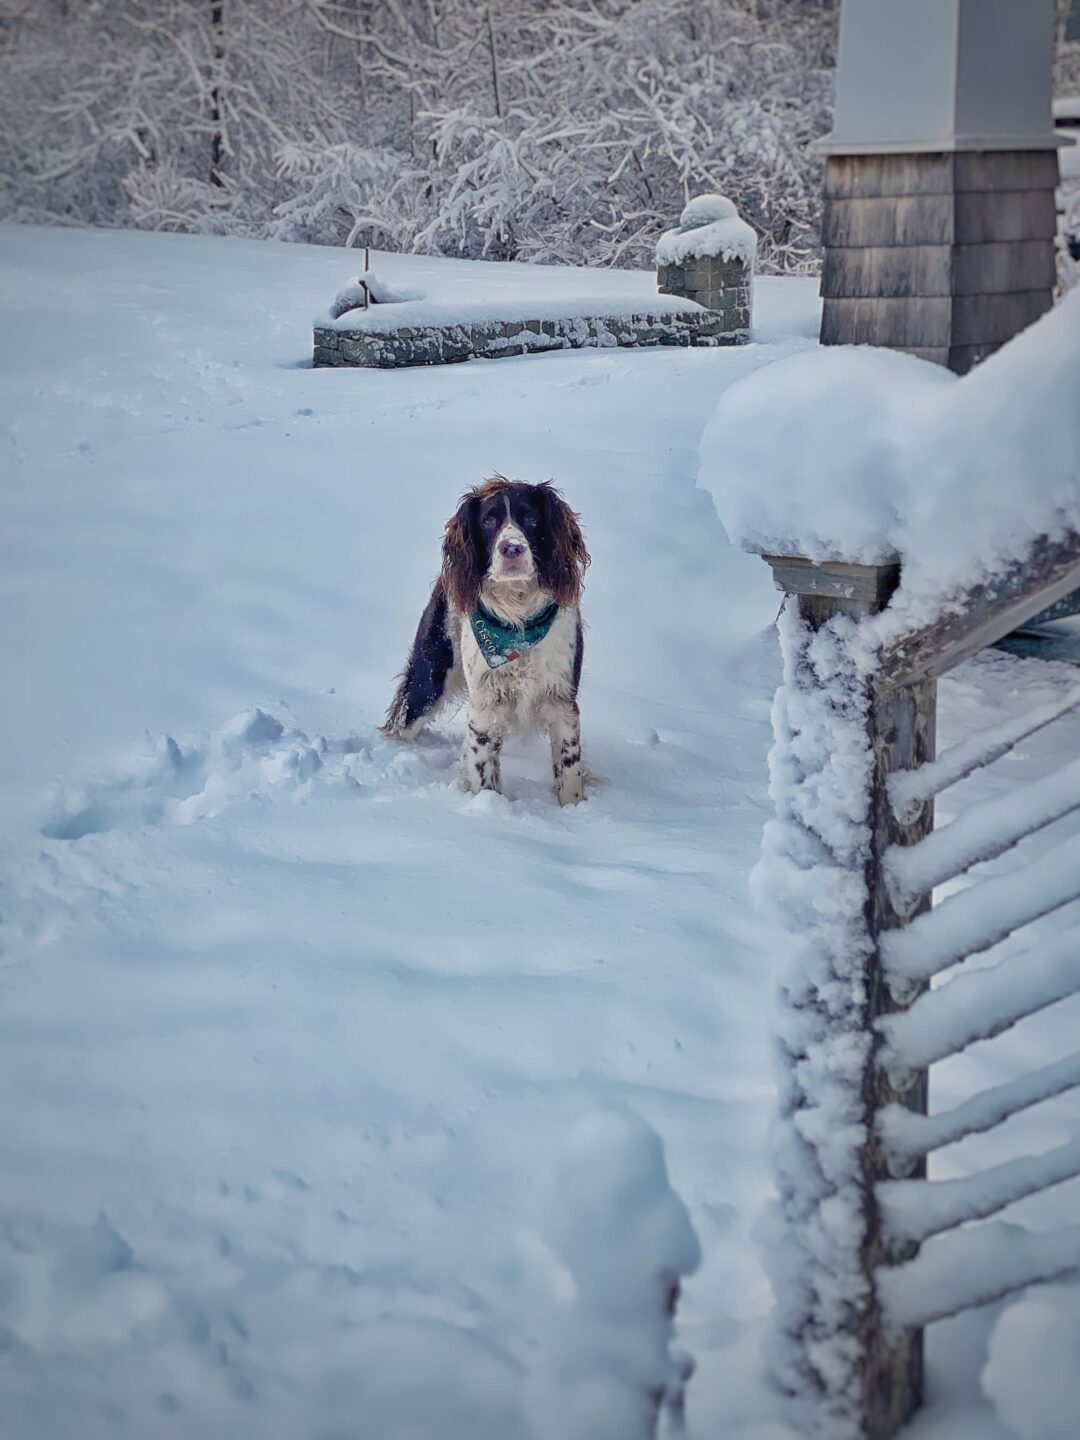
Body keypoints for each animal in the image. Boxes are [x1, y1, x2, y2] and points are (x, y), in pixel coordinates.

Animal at [383, 478, 593, 806]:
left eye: (531, 517)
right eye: (488, 520)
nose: (512, 548)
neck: (517, 621)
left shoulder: (562, 699)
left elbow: (569, 769)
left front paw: (572, 809)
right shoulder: (485, 706)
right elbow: (483, 771)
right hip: (429, 678)